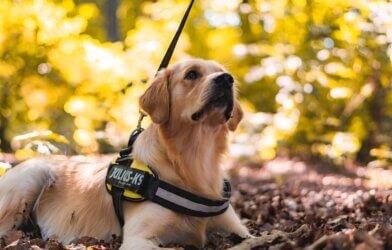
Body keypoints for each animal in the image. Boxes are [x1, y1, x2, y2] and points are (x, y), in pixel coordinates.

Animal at [0, 58, 250, 248]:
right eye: (191, 74)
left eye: (222, 71)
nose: (226, 79)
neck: (195, 161)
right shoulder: (139, 238)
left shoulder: (238, 229)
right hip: (30, 177)